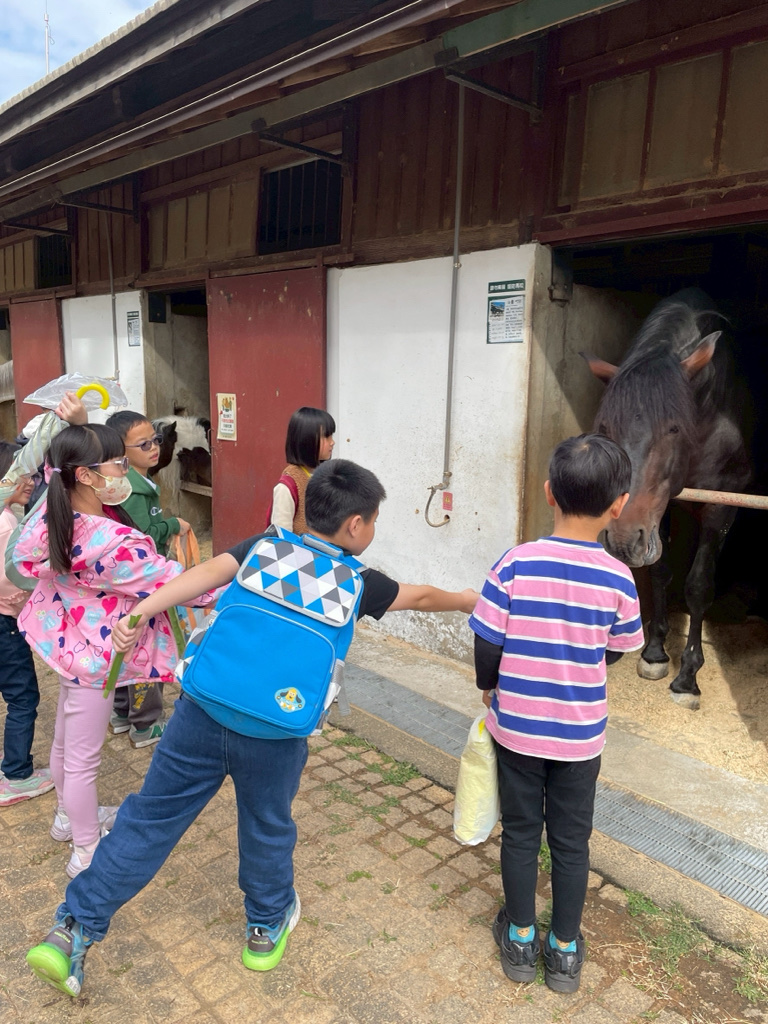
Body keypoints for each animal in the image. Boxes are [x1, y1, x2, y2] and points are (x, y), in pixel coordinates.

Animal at [583, 288, 753, 709]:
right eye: (606, 426)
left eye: (674, 427)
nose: (621, 540)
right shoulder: (661, 511)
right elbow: (659, 570)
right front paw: (656, 651)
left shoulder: (721, 506)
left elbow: (698, 585)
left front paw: (688, 676)